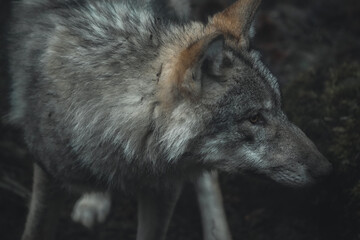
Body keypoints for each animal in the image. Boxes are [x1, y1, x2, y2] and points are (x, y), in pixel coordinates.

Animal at [7, 0, 332, 239]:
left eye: (279, 107)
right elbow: (35, 229)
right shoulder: (46, 172)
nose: (326, 170)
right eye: (254, 118)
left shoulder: (165, 188)